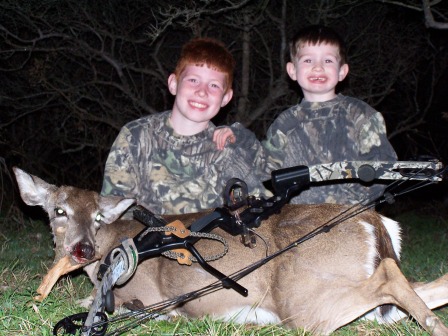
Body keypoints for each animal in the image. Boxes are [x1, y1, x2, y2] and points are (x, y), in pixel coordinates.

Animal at [12, 167, 448, 334]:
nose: (82, 249)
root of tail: (373, 219)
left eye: (98, 217)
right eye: (59, 210)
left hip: (304, 302)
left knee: (390, 278)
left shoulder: (142, 294)